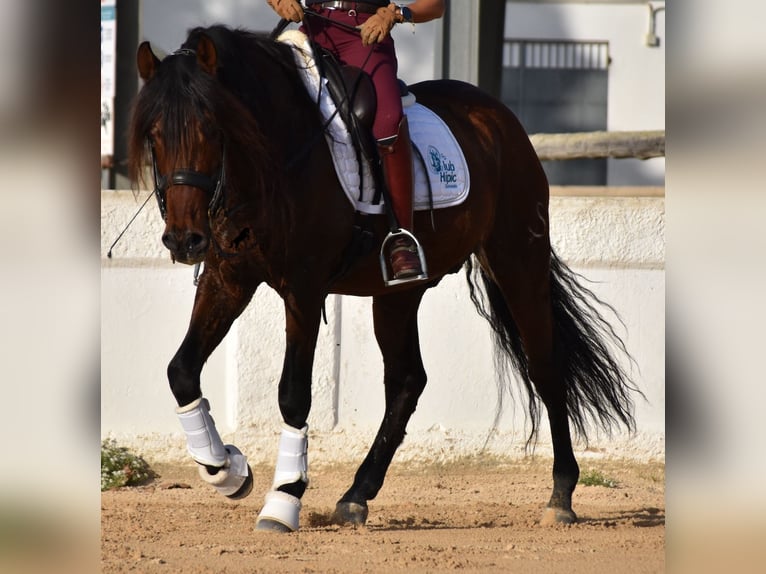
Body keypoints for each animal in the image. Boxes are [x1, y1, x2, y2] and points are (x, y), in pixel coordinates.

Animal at [129, 23, 640, 536]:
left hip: (517, 260)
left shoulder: (304, 289)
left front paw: (283, 500)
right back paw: (356, 495)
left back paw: (561, 495)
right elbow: (181, 371)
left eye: (211, 130)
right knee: (408, 379)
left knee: (545, 366)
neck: (271, 158)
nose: (183, 240)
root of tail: (497, 116)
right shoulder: (228, 278)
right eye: (154, 135)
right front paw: (227, 470)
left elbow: (293, 395)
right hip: (398, 293)